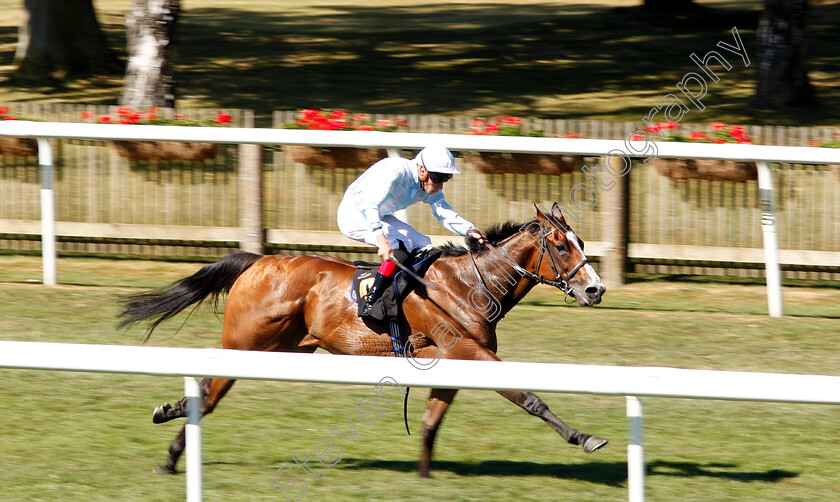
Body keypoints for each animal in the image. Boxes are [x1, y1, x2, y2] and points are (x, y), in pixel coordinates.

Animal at [118, 202, 608, 476]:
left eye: (581, 242)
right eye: (561, 246)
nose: (595, 289)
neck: (469, 284)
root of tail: (259, 261)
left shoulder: (455, 357)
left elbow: (431, 420)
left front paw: (424, 474)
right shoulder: (467, 349)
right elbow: (528, 396)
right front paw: (584, 437)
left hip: (278, 347)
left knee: (206, 393)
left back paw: (170, 420)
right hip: (245, 344)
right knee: (208, 394)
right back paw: (171, 451)